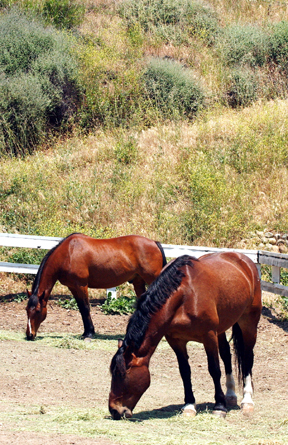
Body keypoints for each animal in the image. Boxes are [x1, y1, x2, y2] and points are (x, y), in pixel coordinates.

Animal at [26, 232, 168, 340]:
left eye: (37, 310)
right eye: (27, 310)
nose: (29, 335)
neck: (68, 253)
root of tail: (154, 243)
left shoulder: (81, 285)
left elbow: (85, 308)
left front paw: (89, 333)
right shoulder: (73, 287)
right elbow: (81, 309)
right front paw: (86, 332)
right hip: (139, 282)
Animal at [109, 251, 262, 418]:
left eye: (122, 374)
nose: (114, 410)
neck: (185, 295)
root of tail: (244, 259)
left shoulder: (209, 336)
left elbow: (214, 370)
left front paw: (219, 406)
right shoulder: (176, 340)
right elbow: (185, 371)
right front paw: (189, 405)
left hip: (248, 323)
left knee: (247, 358)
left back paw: (247, 401)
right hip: (221, 328)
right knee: (226, 354)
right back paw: (231, 395)